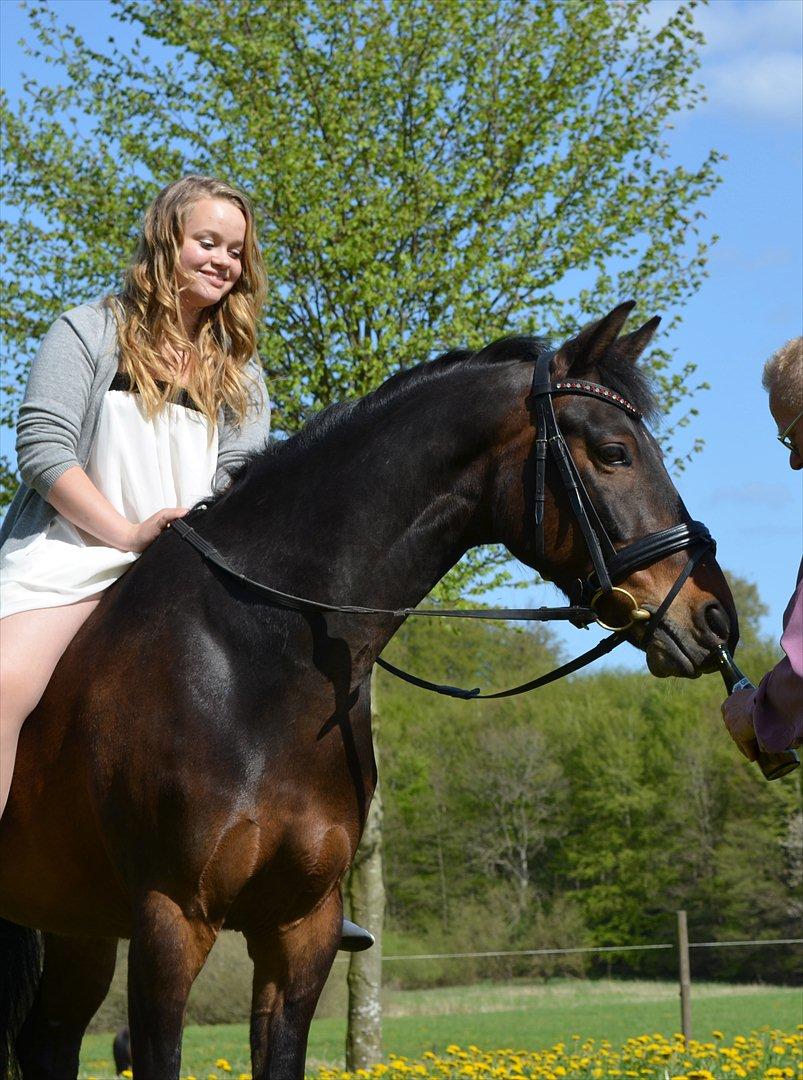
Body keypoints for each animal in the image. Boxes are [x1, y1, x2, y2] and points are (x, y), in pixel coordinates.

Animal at [0, 306, 738, 1080]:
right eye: (614, 452)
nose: (715, 617)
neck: (252, 661)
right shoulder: (170, 921)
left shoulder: (301, 927)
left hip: (74, 922)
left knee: (47, 1039)